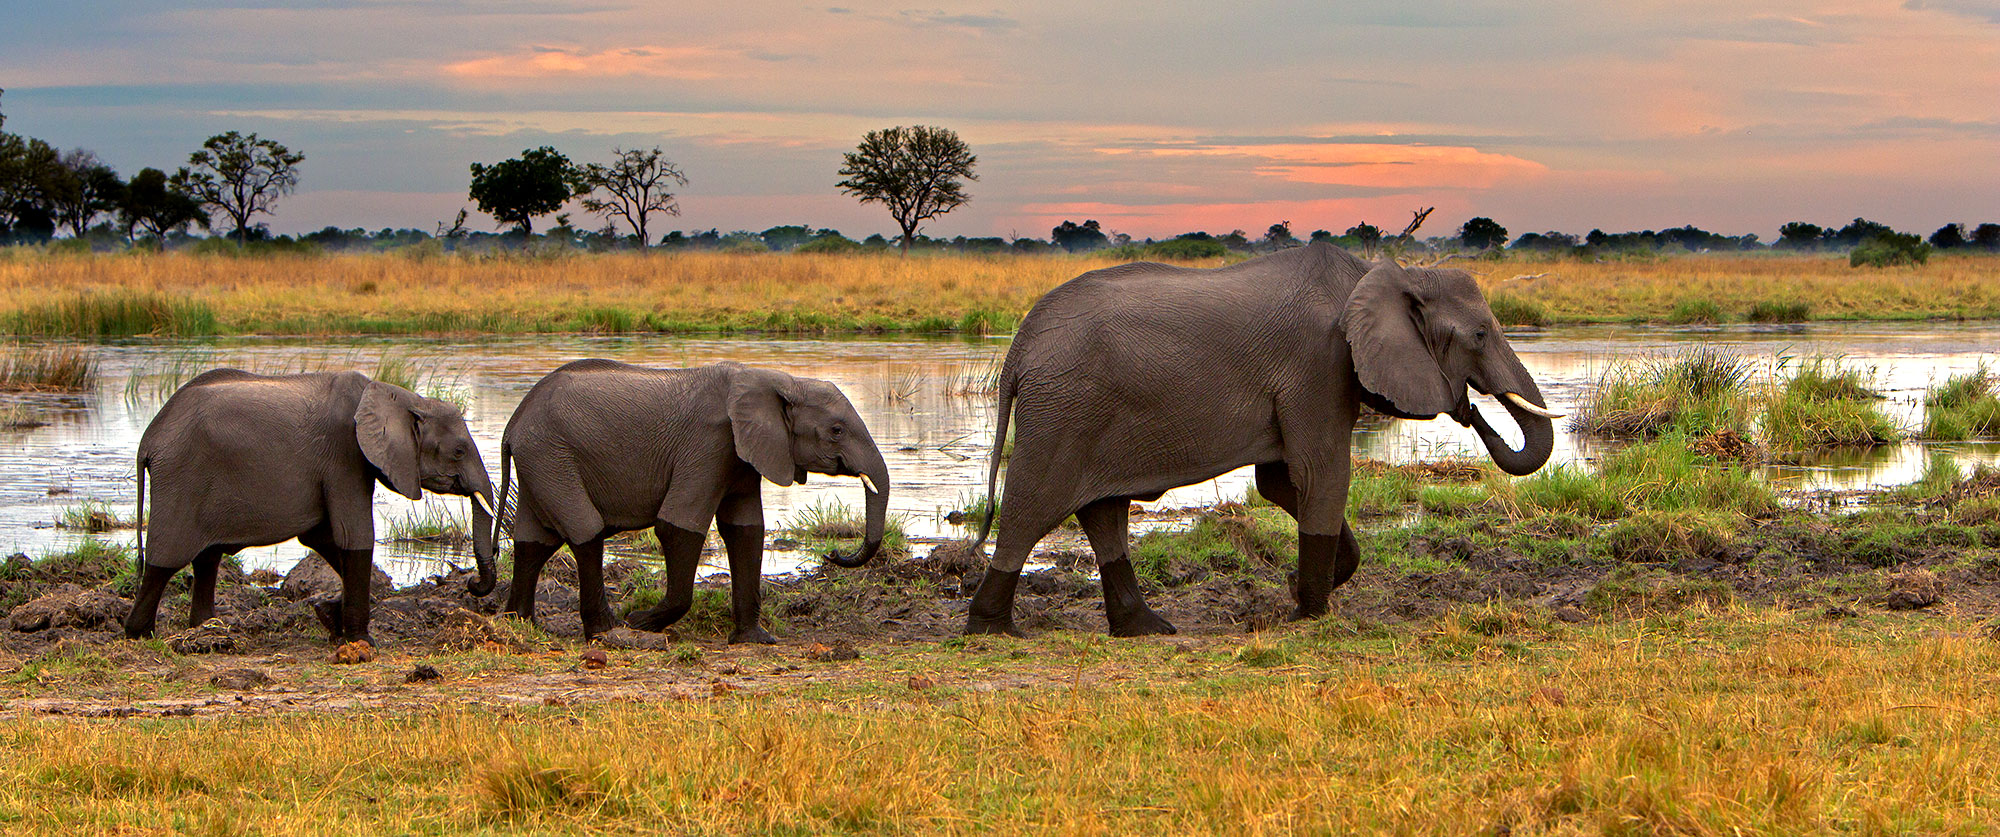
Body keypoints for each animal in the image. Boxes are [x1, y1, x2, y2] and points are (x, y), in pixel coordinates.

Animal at [127, 370, 498, 644]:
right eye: (459, 452)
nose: (471, 584)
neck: (402, 397)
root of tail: (148, 440)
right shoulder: (345, 455)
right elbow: (354, 536)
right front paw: (361, 641)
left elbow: (324, 539)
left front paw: (332, 617)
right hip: (182, 477)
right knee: (165, 559)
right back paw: (140, 633)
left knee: (207, 558)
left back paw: (206, 628)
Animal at [494, 358, 892, 640]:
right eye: (836, 431)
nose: (833, 554)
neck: (779, 379)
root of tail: (512, 424)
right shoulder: (708, 444)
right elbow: (677, 525)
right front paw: (640, 621)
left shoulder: (741, 454)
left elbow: (745, 530)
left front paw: (755, 639)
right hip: (550, 455)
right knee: (584, 529)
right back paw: (608, 630)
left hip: (541, 462)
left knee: (534, 539)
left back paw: (520, 624)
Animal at [964, 245, 1560, 636]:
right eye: (1479, 335)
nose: (1470, 409)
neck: (1383, 275)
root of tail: (1017, 349)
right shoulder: (1319, 363)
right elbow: (1321, 474)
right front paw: (1308, 614)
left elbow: (1280, 483)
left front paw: (1299, 590)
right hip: (1065, 408)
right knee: (1032, 504)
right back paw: (992, 629)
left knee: (1102, 510)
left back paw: (1147, 629)